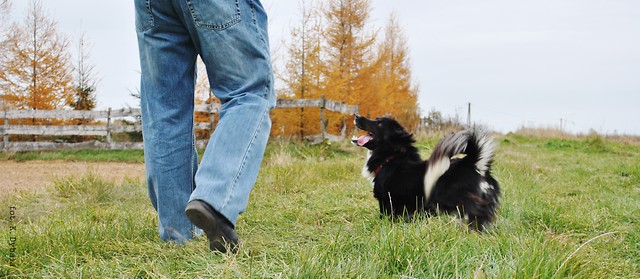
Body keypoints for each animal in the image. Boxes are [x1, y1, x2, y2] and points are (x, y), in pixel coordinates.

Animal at [356, 115, 500, 231]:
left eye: (379, 123)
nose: (357, 116)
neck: (391, 158)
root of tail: (475, 164)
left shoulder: (387, 202)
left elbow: (385, 217)